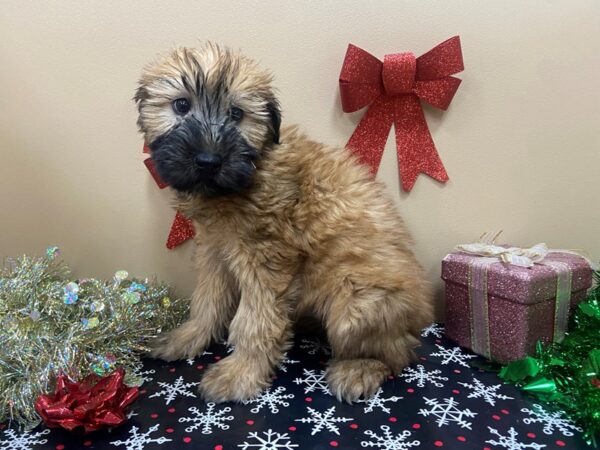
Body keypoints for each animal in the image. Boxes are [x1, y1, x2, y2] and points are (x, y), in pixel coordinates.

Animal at [135, 42, 434, 402]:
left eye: (237, 114)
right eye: (181, 105)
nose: (208, 161)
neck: (252, 170)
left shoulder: (266, 259)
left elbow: (255, 321)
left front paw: (241, 373)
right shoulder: (215, 251)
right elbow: (207, 301)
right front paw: (187, 338)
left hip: (356, 302)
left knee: (398, 353)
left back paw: (359, 368)